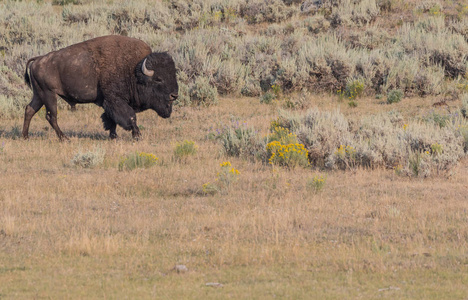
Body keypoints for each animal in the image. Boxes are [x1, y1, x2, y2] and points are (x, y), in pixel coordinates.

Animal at [21, 34, 179, 141]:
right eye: (158, 79)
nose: (174, 95)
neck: (133, 69)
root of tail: (38, 59)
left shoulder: (108, 103)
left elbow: (111, 119)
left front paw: (114, 136)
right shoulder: (115, 100)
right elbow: (130, 116)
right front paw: (137, 135)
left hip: (39, 94)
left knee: (30, 110)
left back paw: (25, 136)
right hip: (48, 94)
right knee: (51, 116)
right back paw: (64, 138)